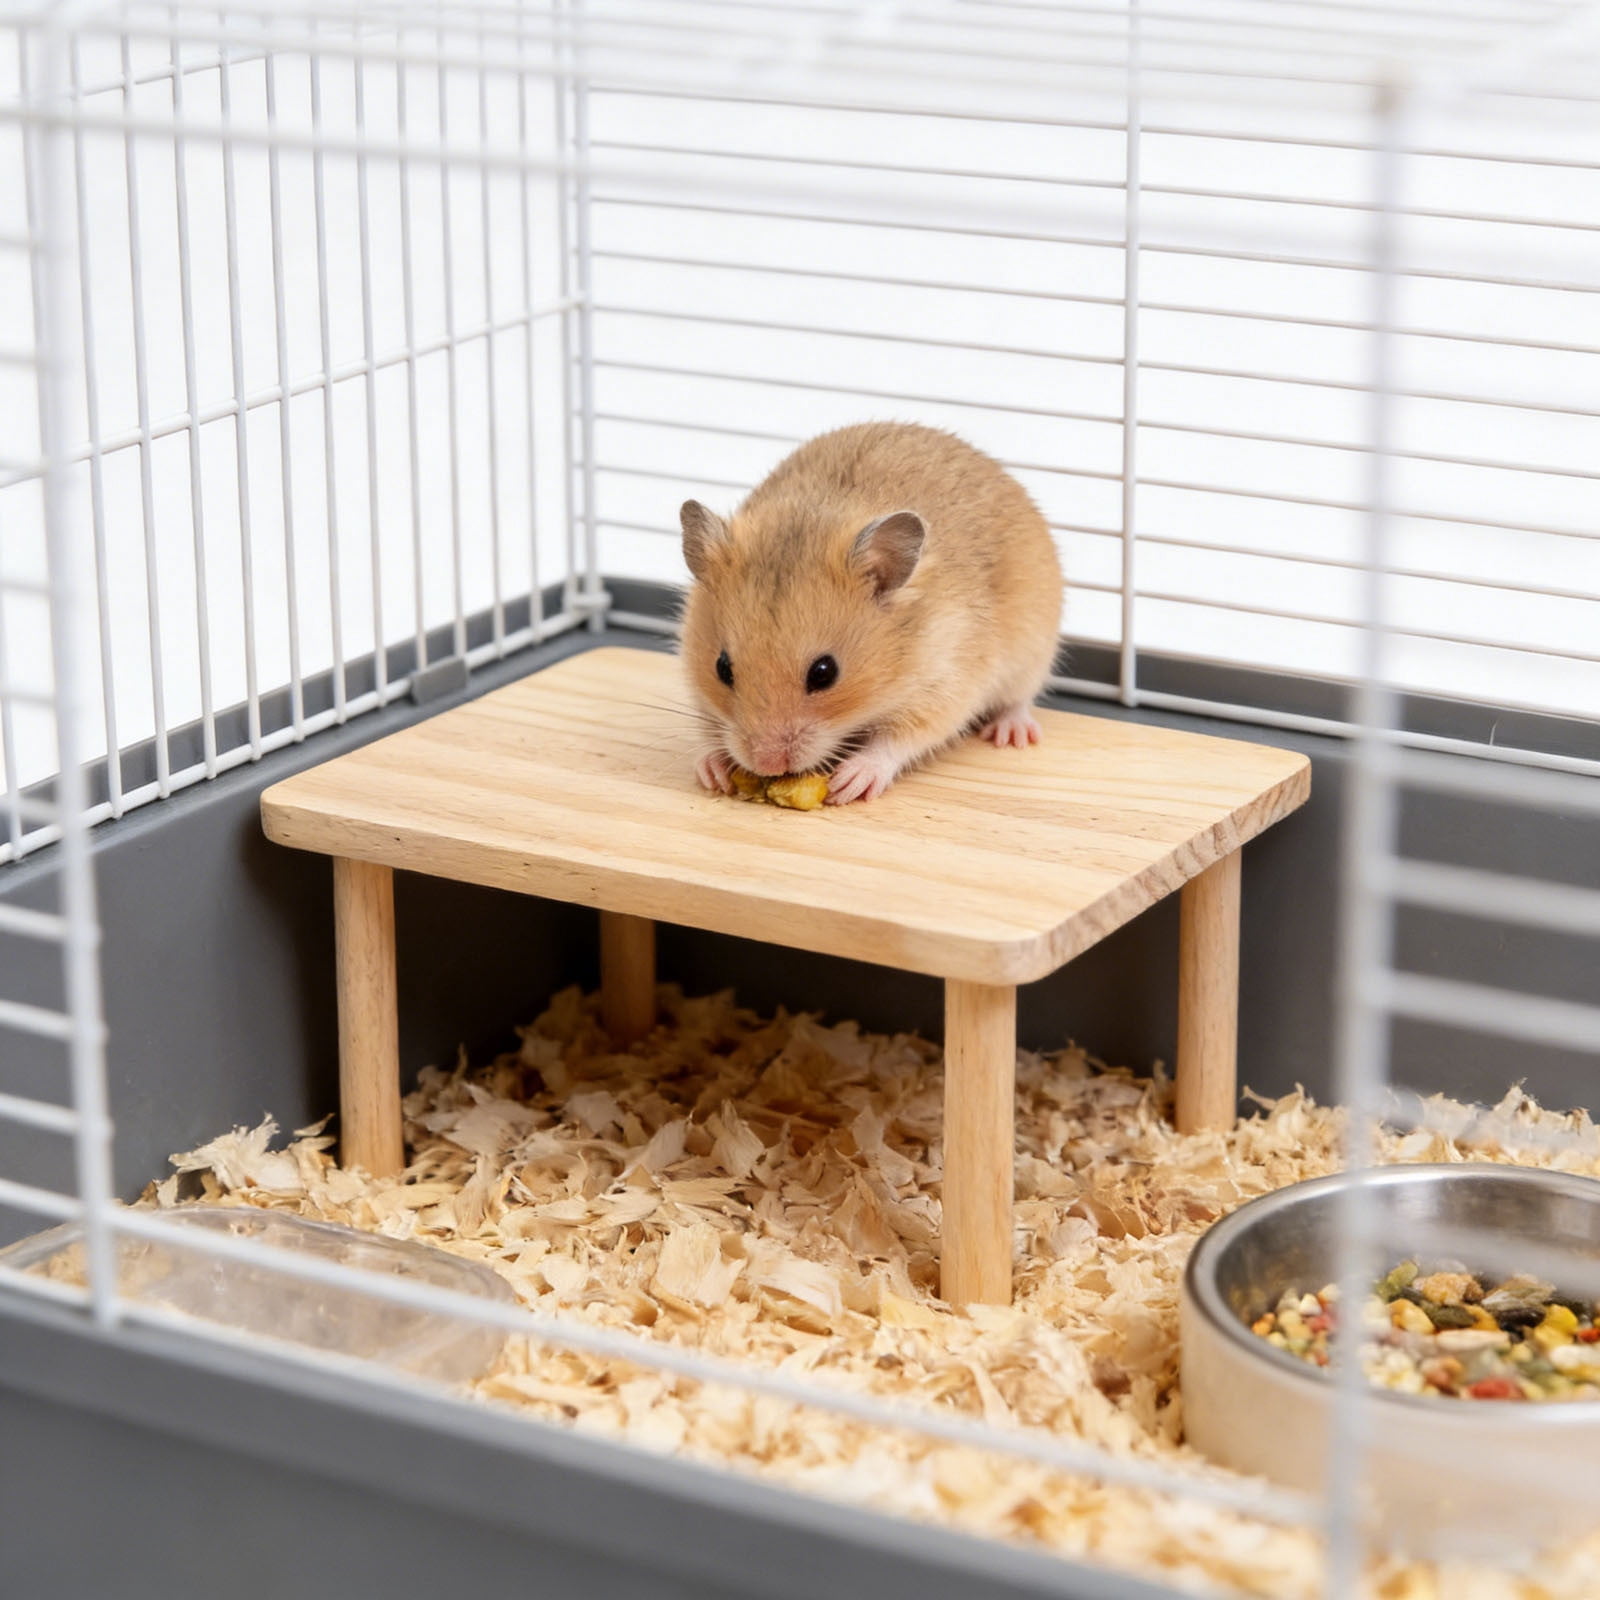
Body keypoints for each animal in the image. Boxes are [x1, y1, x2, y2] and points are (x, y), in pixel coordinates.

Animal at [678, 421, 1064, 804]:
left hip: (1033, 654)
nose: (767, 764)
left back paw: (1011, 734)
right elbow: (704, 728)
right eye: (722, 668)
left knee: (1018, 701)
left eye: (824, 673)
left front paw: (850, 782)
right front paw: (712, 772)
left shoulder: (946, 685)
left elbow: (898, 740)